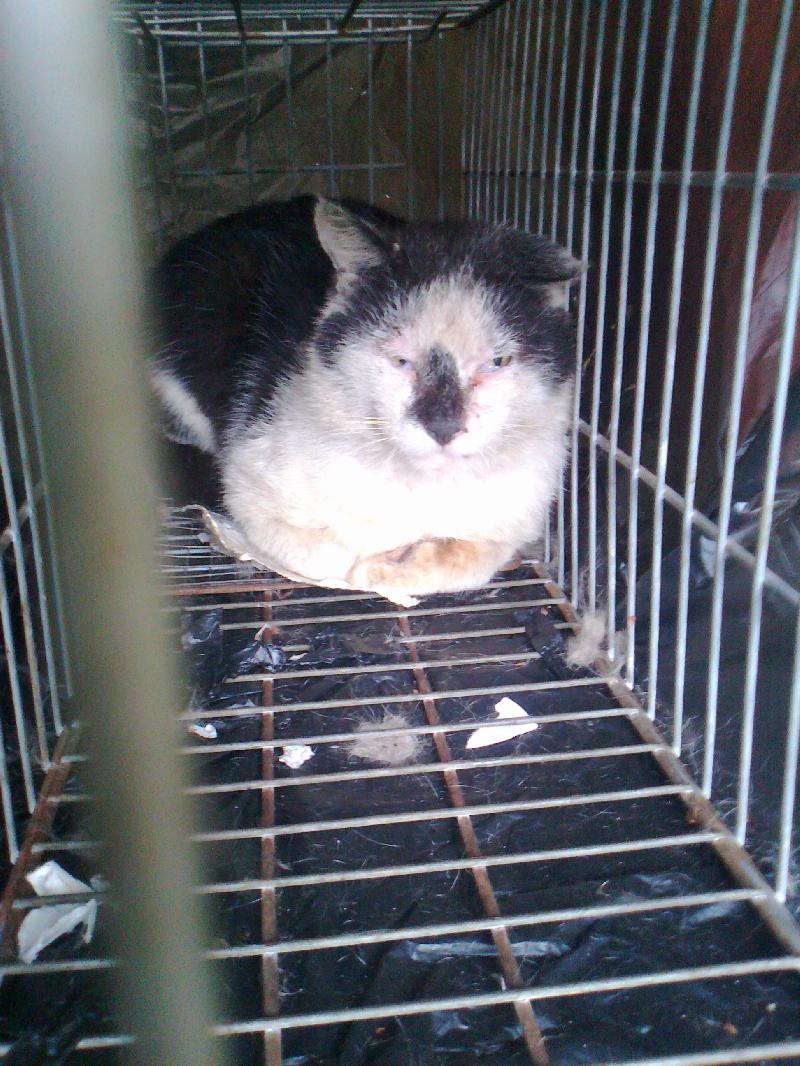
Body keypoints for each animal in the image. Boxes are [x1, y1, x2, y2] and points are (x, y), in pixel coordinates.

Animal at [149, 196, 580, 603]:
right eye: (400, 360)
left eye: (497, 362)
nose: (443, 426)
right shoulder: (246, 479)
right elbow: (328, 558)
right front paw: (367, 566)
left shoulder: (517, 514)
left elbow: (472, 558)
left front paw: (396, 568)